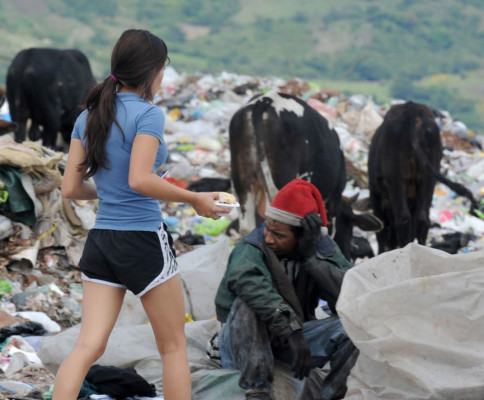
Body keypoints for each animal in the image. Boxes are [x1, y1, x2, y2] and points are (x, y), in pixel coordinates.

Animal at [368, 101, 478, 255]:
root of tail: (412, 110)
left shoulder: (375, 195)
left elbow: (381, 229)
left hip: (396, 178)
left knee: (403, 218)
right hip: (428, 177)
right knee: (422, 219)